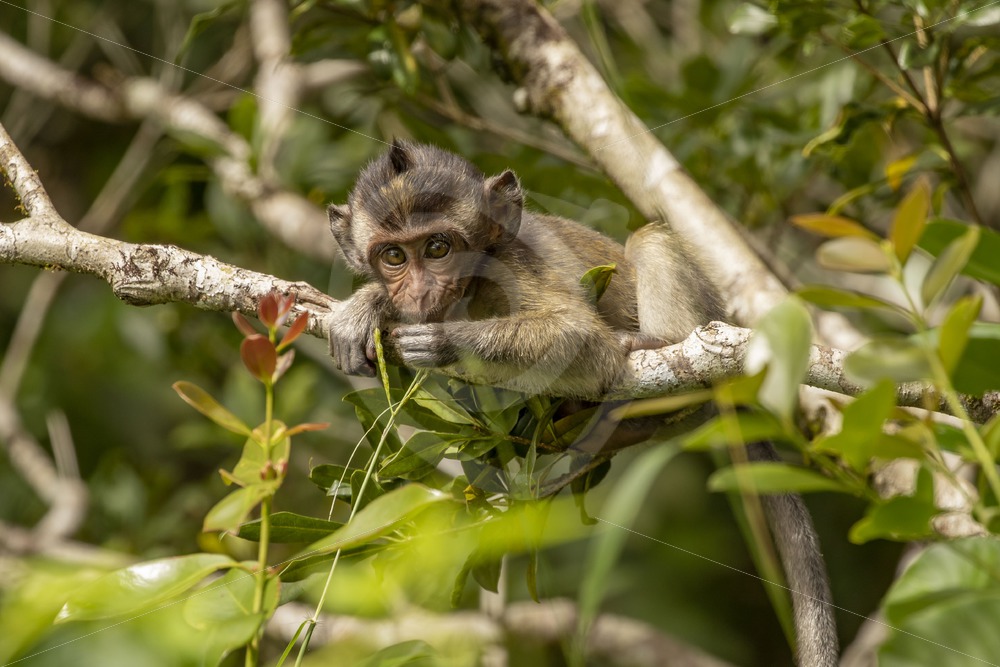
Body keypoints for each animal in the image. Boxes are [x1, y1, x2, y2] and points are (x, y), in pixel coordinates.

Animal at [326, 139, 838, 667]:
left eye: (438, 248)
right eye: (393, 256)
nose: (418, 289)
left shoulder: (517, 264)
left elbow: (582, 340)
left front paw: (442, 340)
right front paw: (366, 307)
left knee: (651, 241)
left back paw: (661, 349)